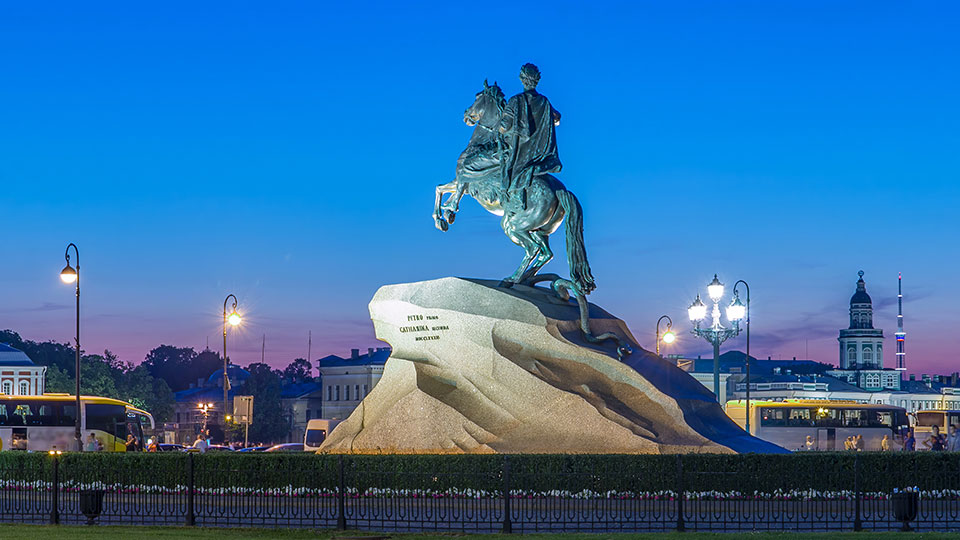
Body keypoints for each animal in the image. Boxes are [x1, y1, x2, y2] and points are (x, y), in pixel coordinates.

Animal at [434, 81, 596, 296]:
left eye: (477, 97)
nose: (466, 114)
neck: (482, 144)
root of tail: (560, 190)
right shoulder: (460, 182)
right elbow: (440, 188)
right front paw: (442, 217)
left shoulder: (464, 177)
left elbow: (449, 192)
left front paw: (447, 215)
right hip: (537, 229)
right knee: (546, 253)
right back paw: (526, 279)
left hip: (515, 226)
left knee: (532, 249)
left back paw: (512, 279)